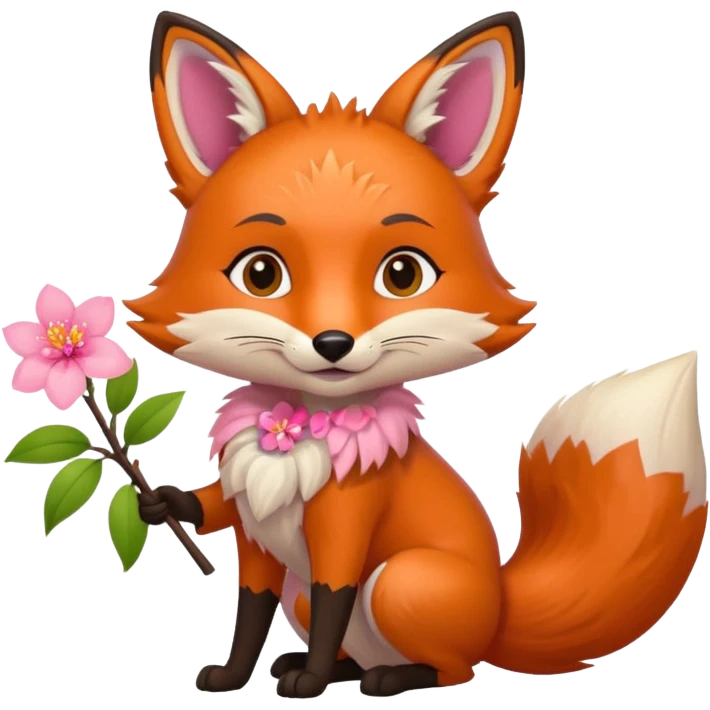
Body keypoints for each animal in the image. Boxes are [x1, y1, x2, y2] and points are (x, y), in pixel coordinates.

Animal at [131, 9, 708, 698]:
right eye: (261, 274)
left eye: (402, 274)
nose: (333, 343)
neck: (296, 431)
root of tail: (499, 611)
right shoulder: (258, 536)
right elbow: (243, 601)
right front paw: (229, 665)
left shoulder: (344, 532)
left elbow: (333, 597)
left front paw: (311, 682)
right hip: (314, 596)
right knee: (353, 644)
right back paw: (336, 668)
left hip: (401, 582)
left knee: (454, 668)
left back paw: (386, 676)